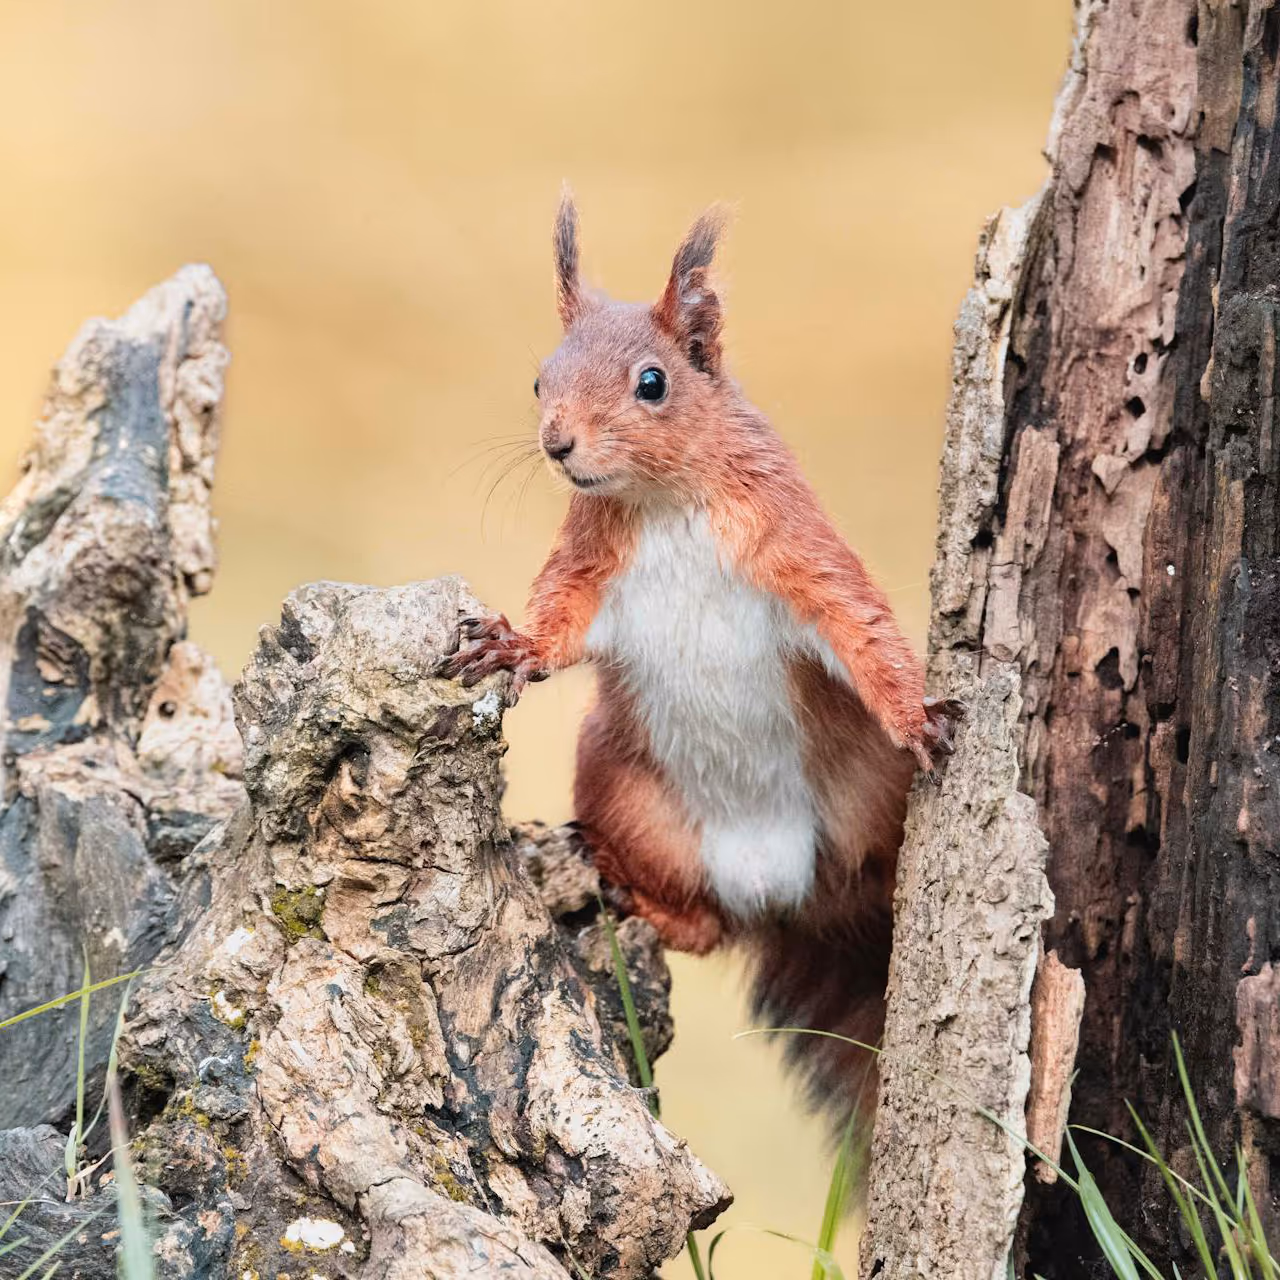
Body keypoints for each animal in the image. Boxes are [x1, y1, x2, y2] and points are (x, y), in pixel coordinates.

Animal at [446, 194, 962, 1131]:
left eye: (653, 382)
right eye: (540, 379)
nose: (558, 443)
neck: (665, 501)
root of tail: (791, 899)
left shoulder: (795, 548)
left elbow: (860, 625)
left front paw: (916, 712)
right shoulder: (590, 569)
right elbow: (556, 625)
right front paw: (510, 645)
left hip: (862, 795)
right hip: (628, 795)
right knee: (705, 930)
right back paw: (625, 893)